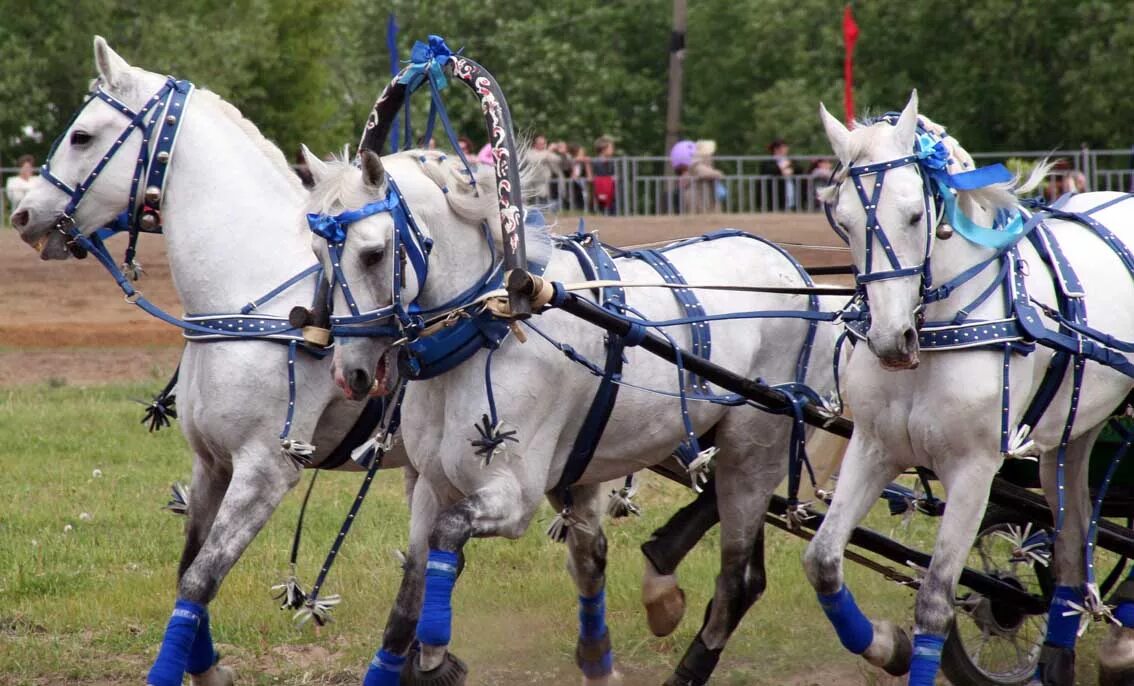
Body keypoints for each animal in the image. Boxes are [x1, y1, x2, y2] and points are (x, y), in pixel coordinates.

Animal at [9, 36, 412, 684]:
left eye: (82, 136)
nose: (23, 216)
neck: (256, 302)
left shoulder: (265, 471)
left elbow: (201, 579)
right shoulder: (211, 464)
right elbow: (187, 571)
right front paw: (207, 669)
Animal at [306, 149, 848, 684]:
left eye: (373, 254)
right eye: (318, 255)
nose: (350, 372)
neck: (490, 331)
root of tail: (798, 273)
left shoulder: (513, 496)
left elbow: (451, 534)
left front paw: (436, 654)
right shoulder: (432, 486)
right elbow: (407, 599)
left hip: (758, 444)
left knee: (738, 578)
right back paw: (662, 578)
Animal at [811, 92, 1134, 684]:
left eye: (916, 214)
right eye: (842, 221)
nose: (891, 341)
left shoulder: (974, 470)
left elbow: (935, 601)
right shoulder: (873, 448)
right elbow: (822, 561)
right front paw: (883, 645)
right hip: (1070, 436)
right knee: (1070, 547)